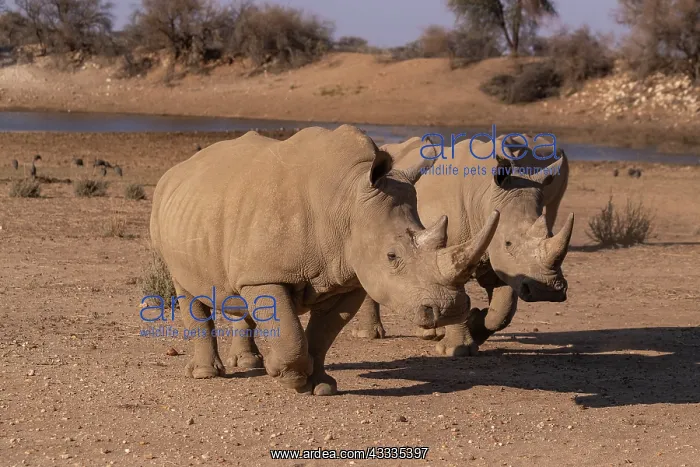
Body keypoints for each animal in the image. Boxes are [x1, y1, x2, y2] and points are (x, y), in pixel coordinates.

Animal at [149, 125, 500, 395]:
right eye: (392, 256)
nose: (451, 309)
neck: (346, 202)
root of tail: (177, 170)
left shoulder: (348, 280)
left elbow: (324, 333)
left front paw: (319, 386)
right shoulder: (267, 275)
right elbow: (291, 333)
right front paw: (286, 374)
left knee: (235, 288)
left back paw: (249, 364)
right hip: (169, 214)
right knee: (188, 290)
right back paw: (207, 374)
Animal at [352, 133, 574, 356]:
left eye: (549, 233)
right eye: (508, 243)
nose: (547, 291)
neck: (485, 195)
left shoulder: (498, 256)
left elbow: (504, 309)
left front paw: (477, 324)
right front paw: (456, 349)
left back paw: (430, 333)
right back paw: (369, 334)